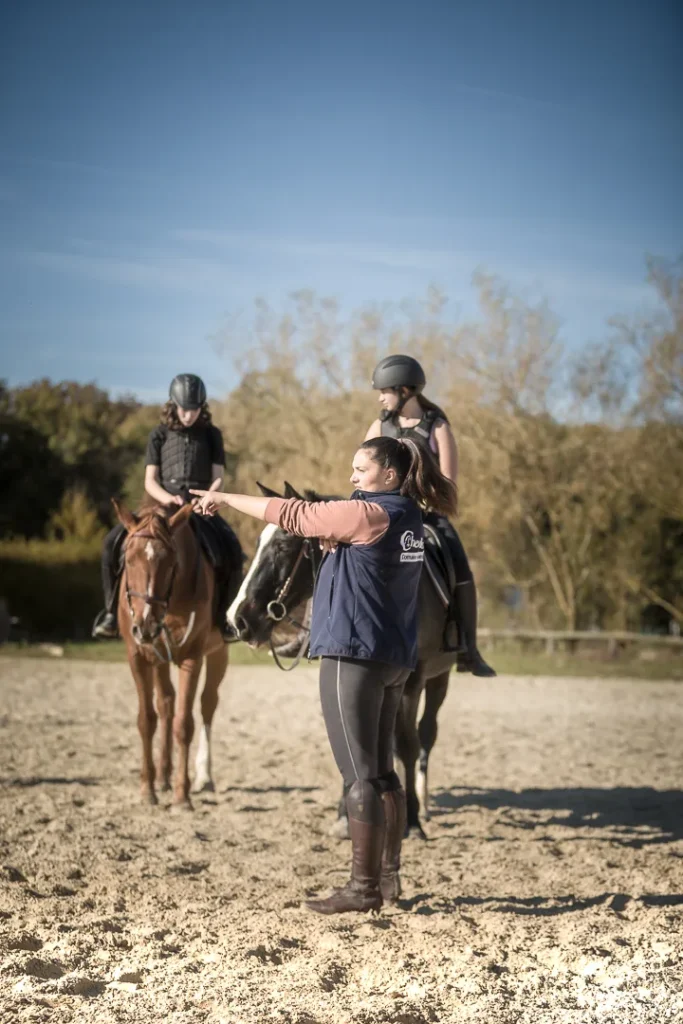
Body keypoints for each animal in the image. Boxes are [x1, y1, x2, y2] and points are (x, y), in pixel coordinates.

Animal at [114, 497, 235, 806]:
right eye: (128, 559)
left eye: (170, 562)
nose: (144, 624)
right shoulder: (138, 657)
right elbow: (147, 720)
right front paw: (148, 788)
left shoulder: (191, 656)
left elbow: (184, 724)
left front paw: (182, 795)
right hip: (157, 657)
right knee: (165, 704)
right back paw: (163, 777)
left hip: (217, 654)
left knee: (206, 704)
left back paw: (203, 776)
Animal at [227, 483, 456, 835]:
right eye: (258, 544)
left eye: (282, 546)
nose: (237, 619)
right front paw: (345, 814)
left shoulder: (413, 682)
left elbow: (407, 745)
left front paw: (413, 821)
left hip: (439, 679)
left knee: (426, 735)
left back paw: (423, 803)